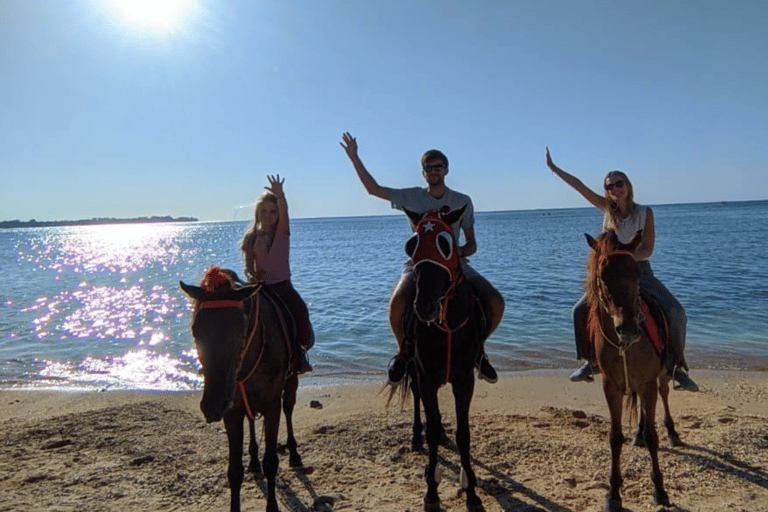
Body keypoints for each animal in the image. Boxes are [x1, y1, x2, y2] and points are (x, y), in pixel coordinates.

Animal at [178, 268, 302, 512]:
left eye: (241, 328)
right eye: (195, 330)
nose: (212, 405)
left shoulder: (272, 405)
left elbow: (271, 462)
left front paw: (272, 506)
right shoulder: (232, 410)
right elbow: (234, 471)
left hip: (291, 380)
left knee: (289, 408)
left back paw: (293, 452)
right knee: (252, 420)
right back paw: (253, 459)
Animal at [584, 234, 680, 512]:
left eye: (636, 273)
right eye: (602, 274)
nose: (628, 329)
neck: (624, 346)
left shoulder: (648, 384)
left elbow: (652, 436)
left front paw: (660, 491)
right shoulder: (611, 387)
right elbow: (615, 438)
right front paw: (613, 494)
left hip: (660, 377)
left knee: (664, 394)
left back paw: (673, 433)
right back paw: (637, 435)